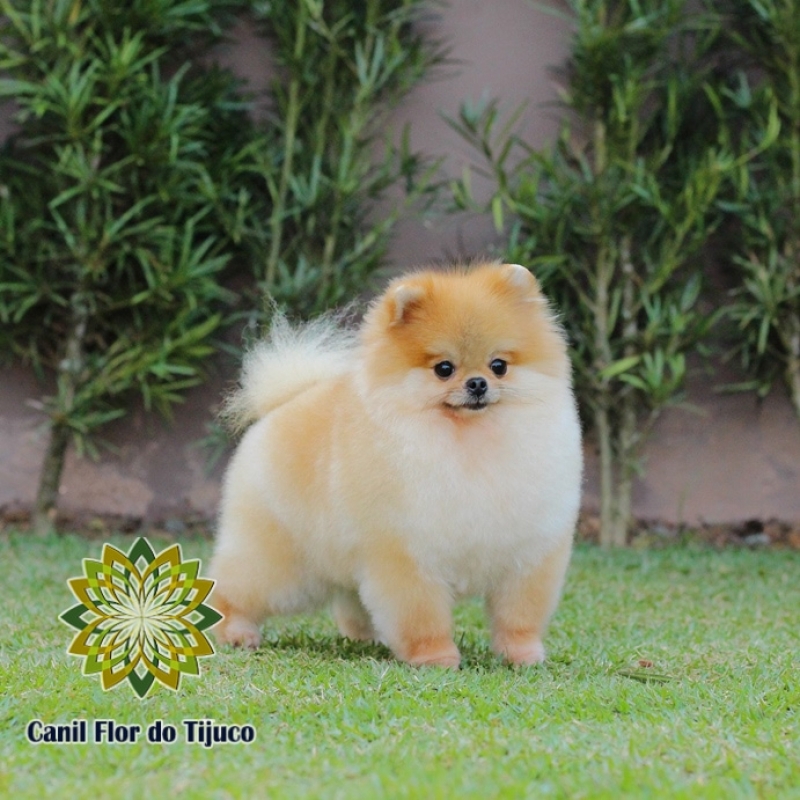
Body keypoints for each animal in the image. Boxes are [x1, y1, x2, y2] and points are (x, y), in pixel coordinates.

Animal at [209, 264, 580, 668]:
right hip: (284, 565)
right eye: (444, 369)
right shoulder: (406, 554)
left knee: (350, 598)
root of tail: (282, 404)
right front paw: (435, 658)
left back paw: (363, 637)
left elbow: (519, 616)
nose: (478, 383)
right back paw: (235, 632)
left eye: (499, 366)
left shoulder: (529, 556)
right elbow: (421, 616)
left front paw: (523, 655)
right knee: (236, 590)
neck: (469, 440)